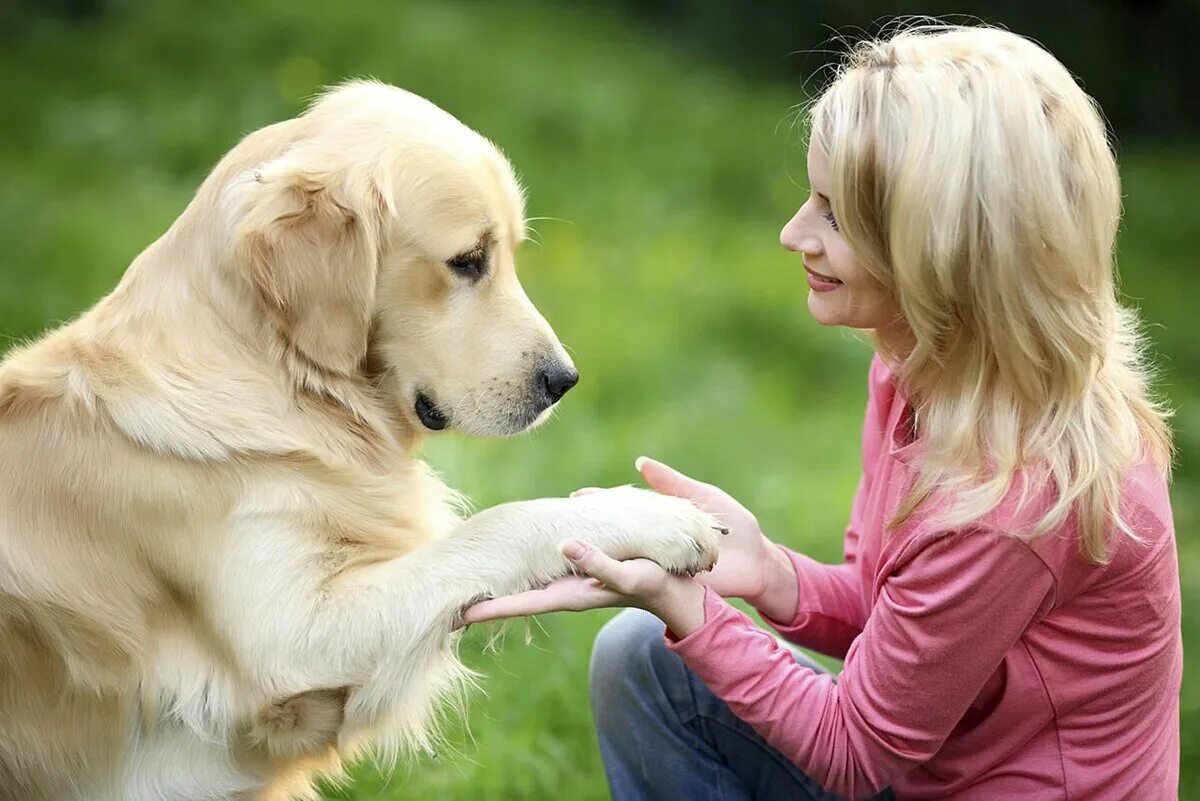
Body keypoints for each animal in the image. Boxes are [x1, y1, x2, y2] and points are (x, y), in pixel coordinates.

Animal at [0, 82, 720, 801]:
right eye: (468, 262)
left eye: (510, 254)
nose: (563, 381)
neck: (283, 384)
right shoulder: (293, 637)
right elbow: (497, 525)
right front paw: (655, 517)